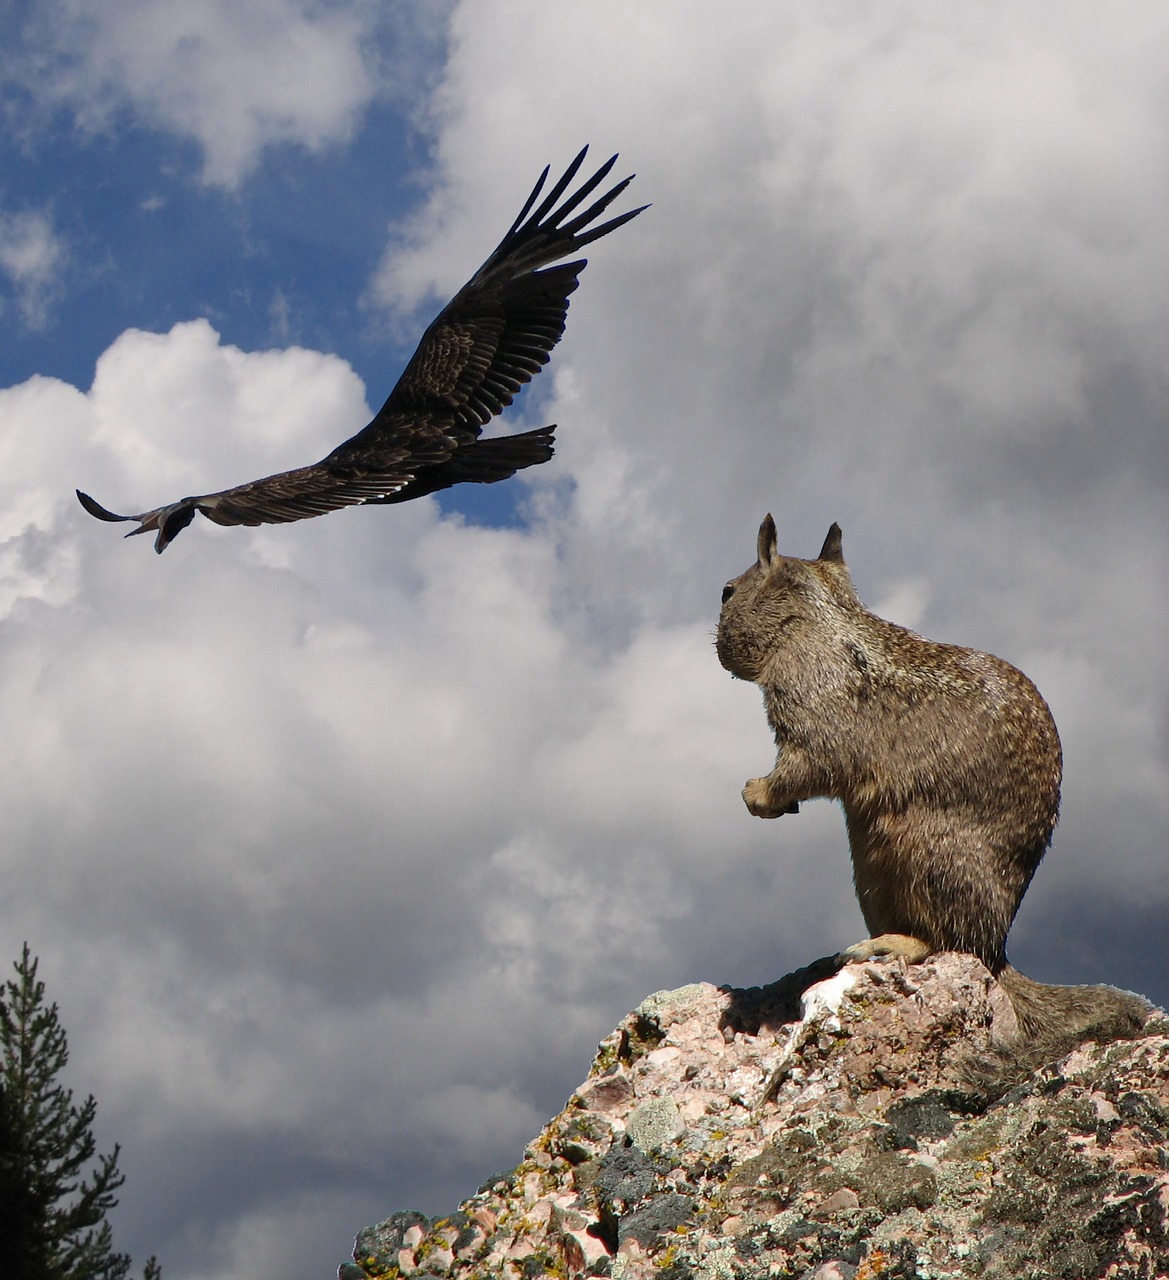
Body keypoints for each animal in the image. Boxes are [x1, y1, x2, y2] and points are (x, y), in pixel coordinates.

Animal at [717, 514, 1152, 1085]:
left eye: (726, 591)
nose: (718, 649)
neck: (813, 619)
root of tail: (998, 949)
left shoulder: (810, 710)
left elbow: (807, 767)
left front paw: (757, 794)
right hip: (872, 875)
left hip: (924, 858)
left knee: (948, 941)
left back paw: (890, 945)